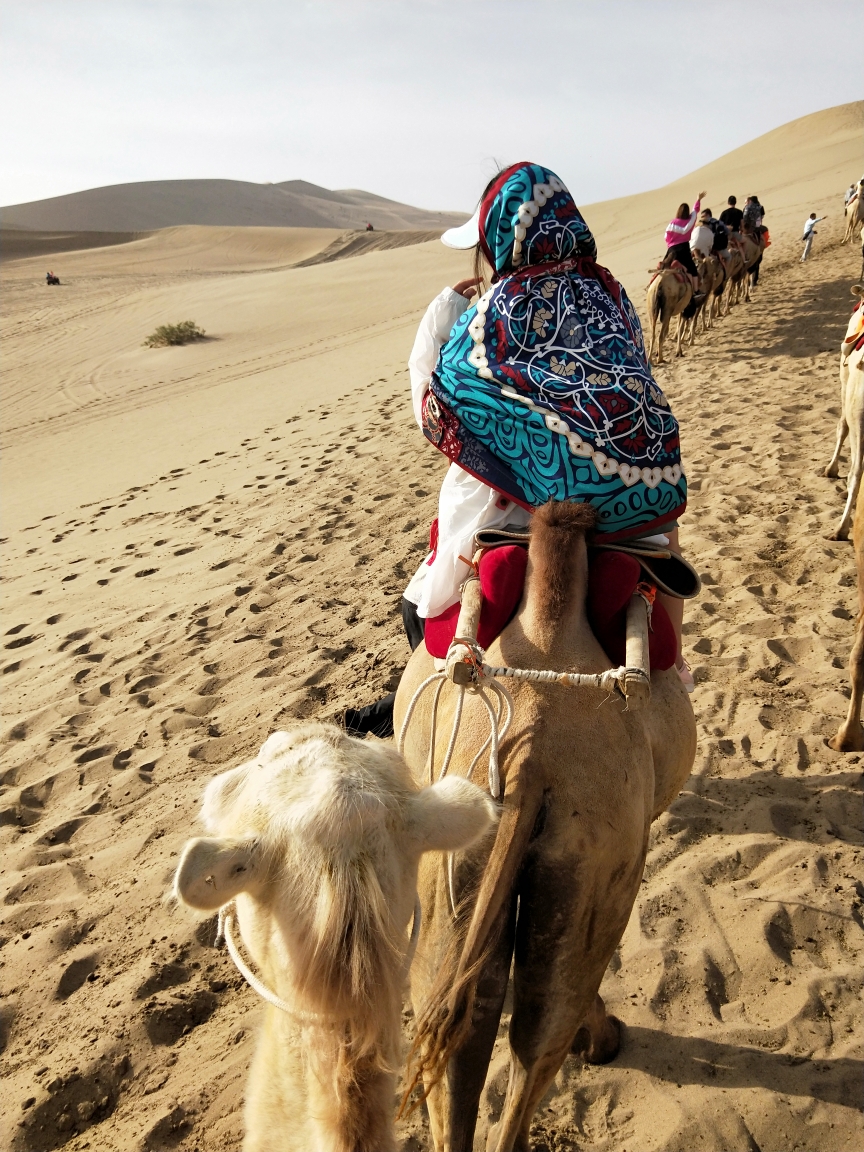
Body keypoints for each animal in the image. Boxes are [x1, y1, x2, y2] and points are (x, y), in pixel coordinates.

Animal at [396, 504, 700, 1152]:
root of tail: (530, 763)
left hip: (460, 865)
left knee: (460, 1024)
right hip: (596, 865)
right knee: (540, 1031)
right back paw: (601, 1041)